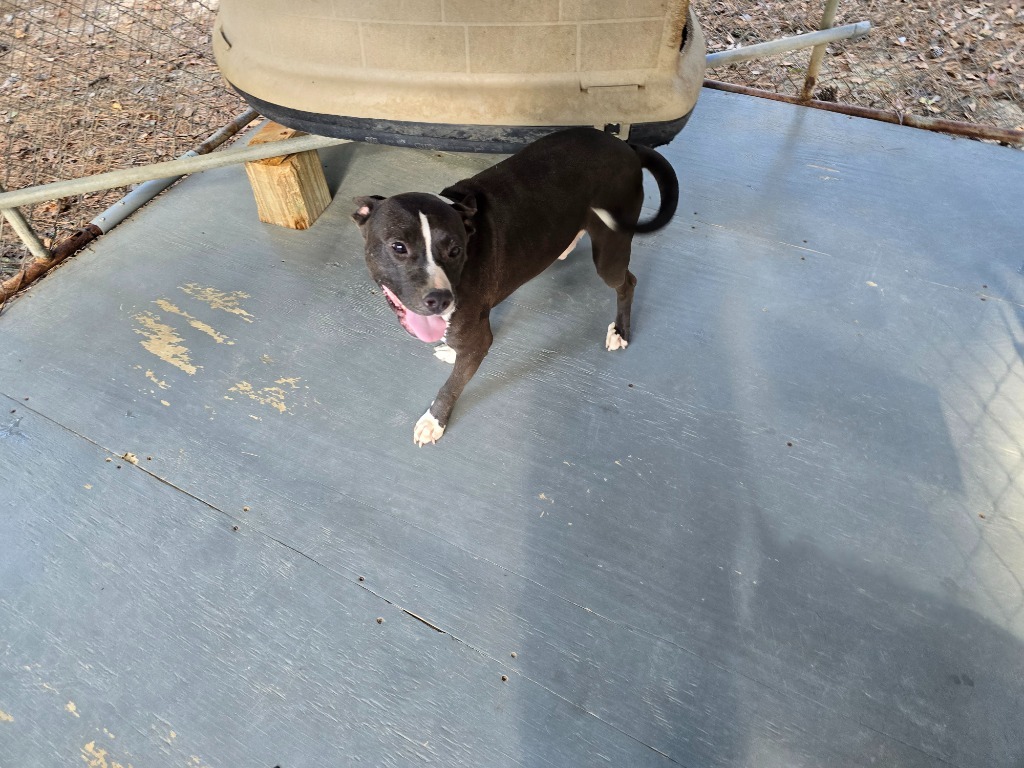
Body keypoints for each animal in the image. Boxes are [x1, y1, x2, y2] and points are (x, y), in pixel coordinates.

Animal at [352, 128, 679, 444]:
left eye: (455, 250)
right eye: (398, 247)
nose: (439, 299)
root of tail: (625, 146)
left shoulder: (478, 340)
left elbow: (452, 385)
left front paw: (435, 421)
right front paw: (450, 352)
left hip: (610, 251)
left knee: (627, 283)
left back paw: (621, 331)